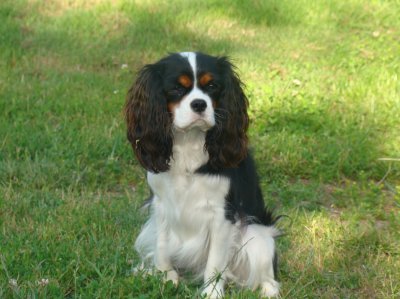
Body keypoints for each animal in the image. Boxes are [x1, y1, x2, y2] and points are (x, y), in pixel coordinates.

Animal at [124, 51, 278, 298]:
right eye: (177, 88)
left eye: (212, 86)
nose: (199, 104)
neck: (189, 142)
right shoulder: (161, 205)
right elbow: (162, 245)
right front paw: (164, 277)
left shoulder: (222, 214)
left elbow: (215, 262)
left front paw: (212, 292)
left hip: (257, 235)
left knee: (266, 271)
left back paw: (267, 288)